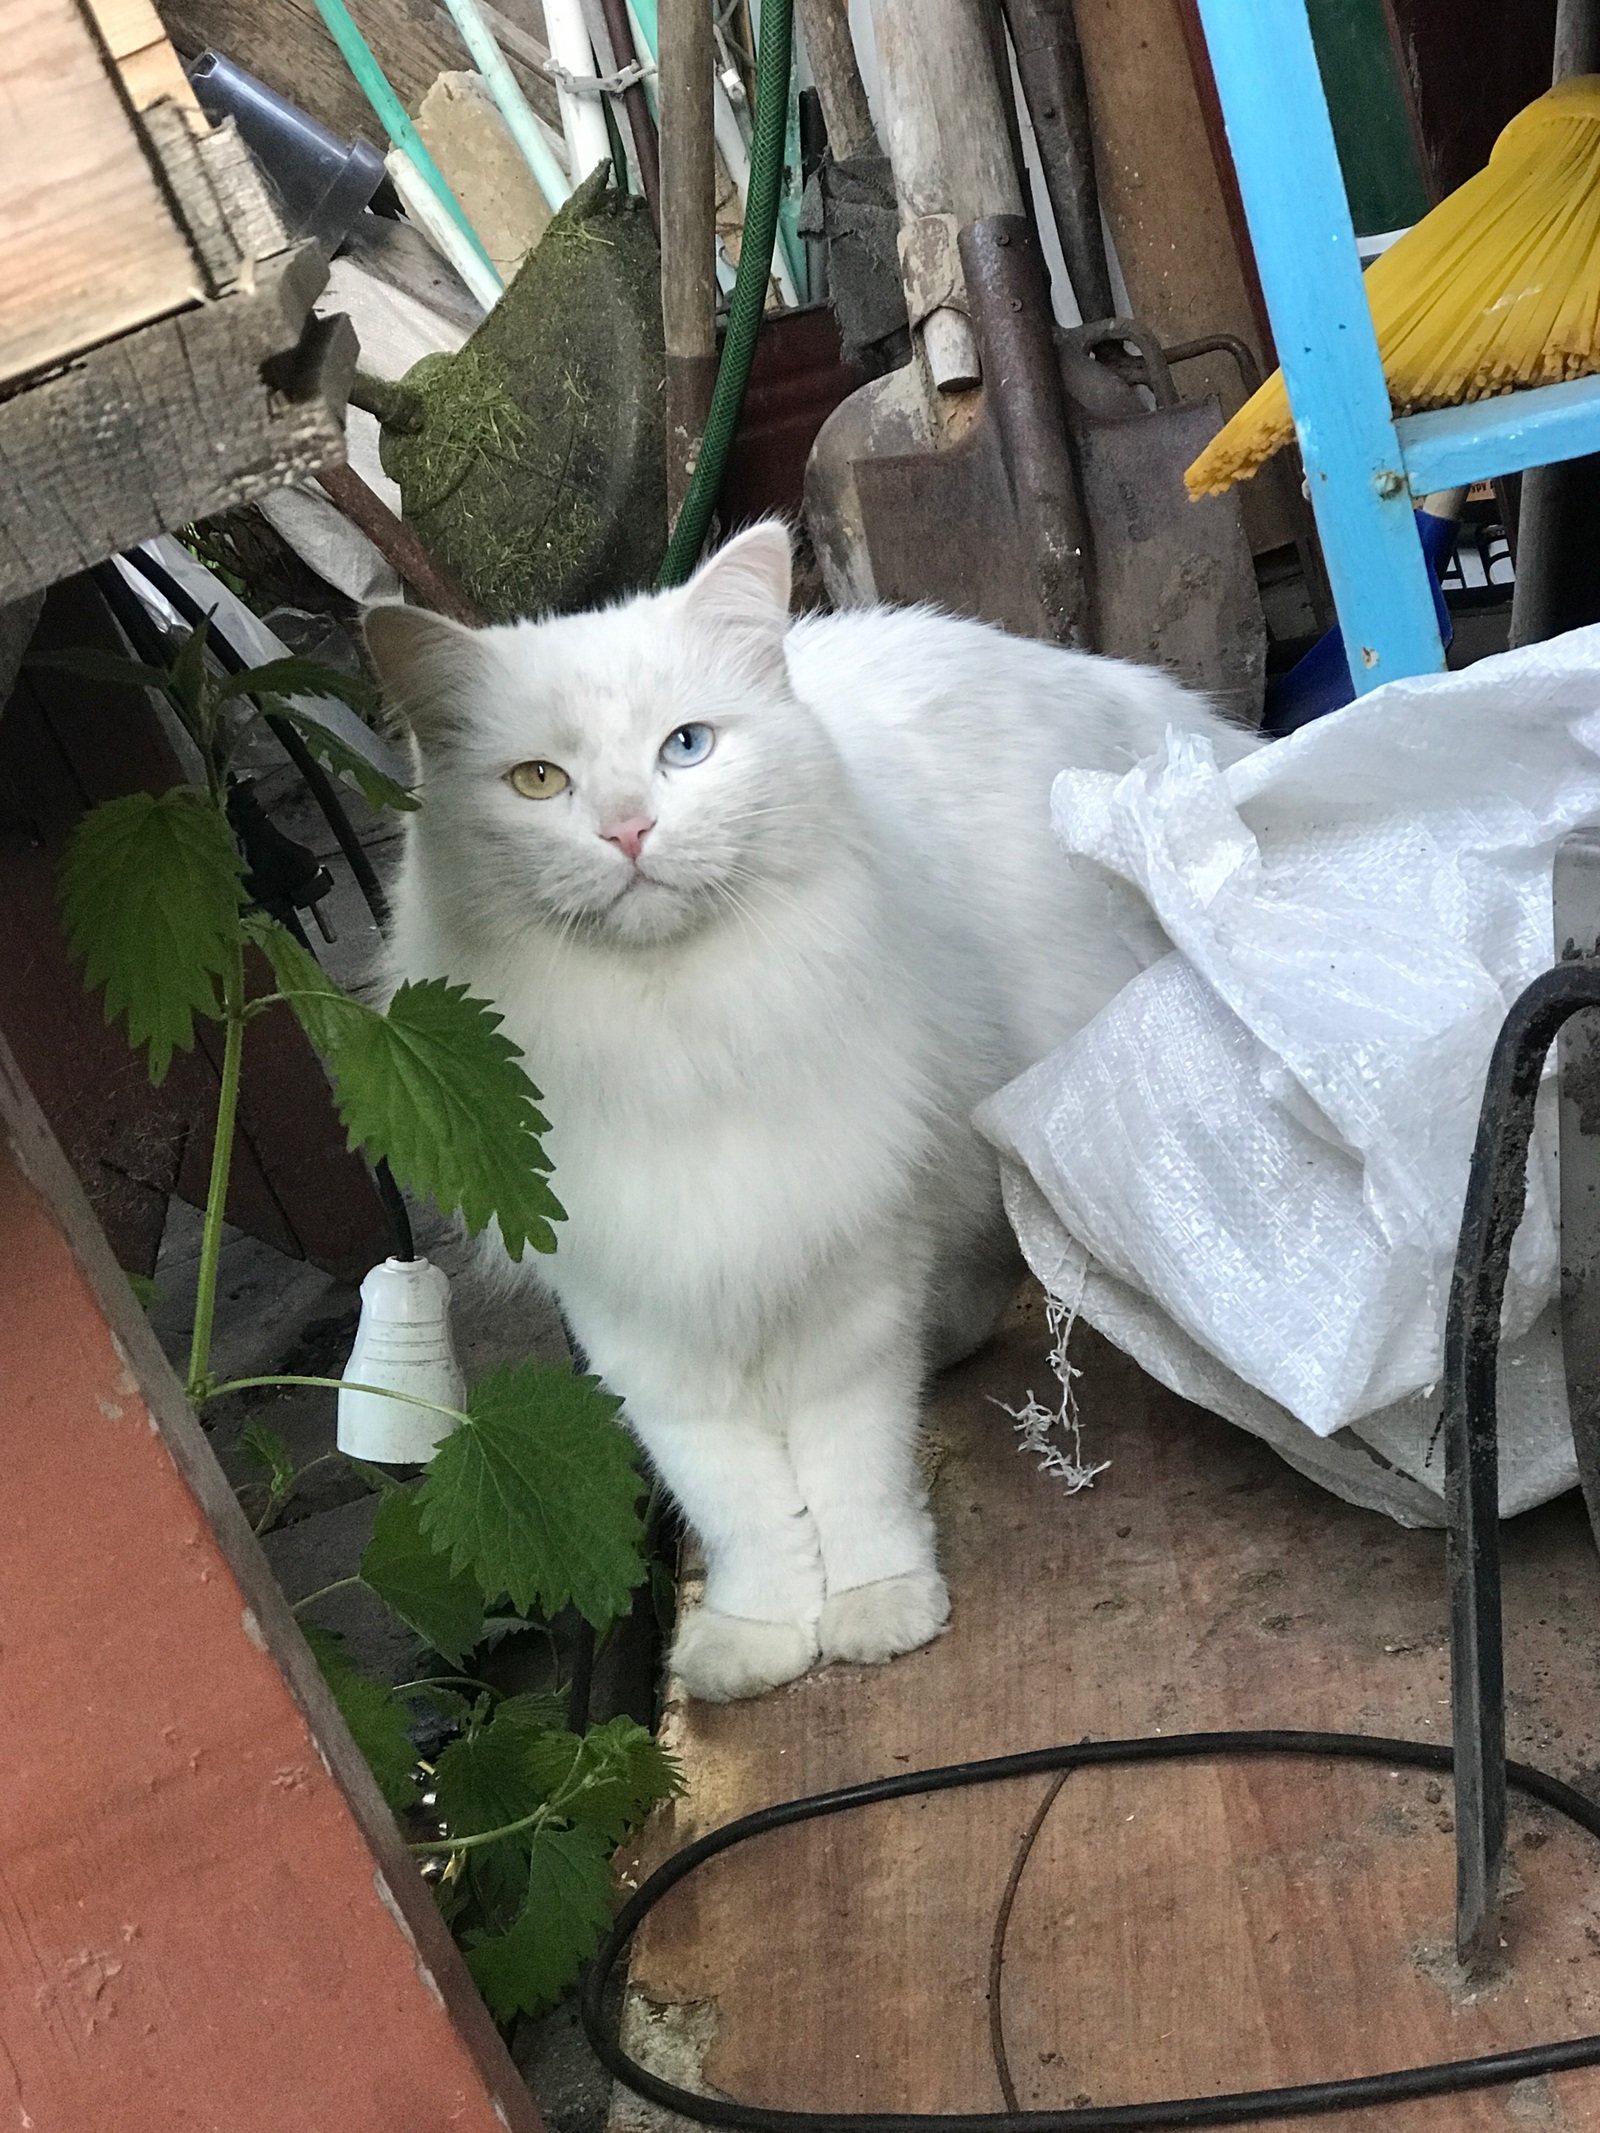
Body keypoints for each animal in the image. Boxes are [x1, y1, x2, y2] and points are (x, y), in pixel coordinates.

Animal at [369, 528, 1262, 1697]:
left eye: (686, 748)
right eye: (537, 782)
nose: (627, 831)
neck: (676, 1040)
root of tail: (1136, 694)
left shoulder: (848, 1267)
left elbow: (851, 1472)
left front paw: (880, 1607)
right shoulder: (640, 1318)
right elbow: (736, 1501)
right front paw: (756, 1639)